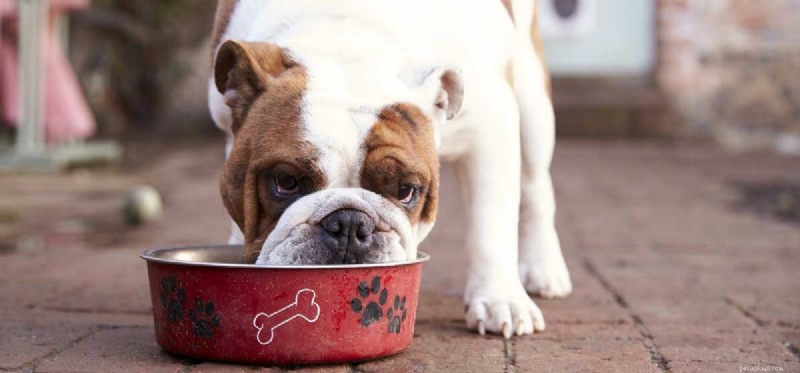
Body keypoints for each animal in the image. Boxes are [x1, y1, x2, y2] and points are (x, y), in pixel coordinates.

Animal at [206, 0, 568, 338]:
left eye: (405, 190)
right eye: (286, 181)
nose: (349, 223)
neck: (349, 39)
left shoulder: (491, 129)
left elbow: (490, 226)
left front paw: (499, 300)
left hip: (532, 104)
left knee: (536, 187)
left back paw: (544, 269)